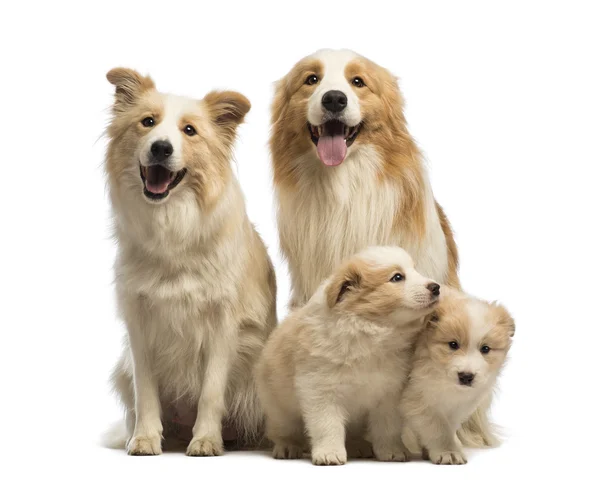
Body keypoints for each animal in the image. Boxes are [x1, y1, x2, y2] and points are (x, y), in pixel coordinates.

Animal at [105, 67, 276, 454]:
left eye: (189, 130)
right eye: (147, 122)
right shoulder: (139, 320)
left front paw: (207, 441)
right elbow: (145, 391)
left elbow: (211, 390)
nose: (161, 147)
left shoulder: (222, 321)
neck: (173, 225)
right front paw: (145, 438)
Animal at [255, 248, 438, 464]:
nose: (436, 287)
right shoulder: (321, 391)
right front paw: (329, 454)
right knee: (283, 431)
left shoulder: (389, 394)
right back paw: (288, 447)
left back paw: (358, 446)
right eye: (397, 277)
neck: (370, 334)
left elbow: (387, 428)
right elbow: (328, 426)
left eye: (415, 270)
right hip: (281, 410)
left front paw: (392, 451)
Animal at [398, 286, 516, 464]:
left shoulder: (456, 406)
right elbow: (437, 428)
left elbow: (448, 427)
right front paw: (448, 452)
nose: (466, 376)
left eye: (485, 349)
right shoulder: (417, 399)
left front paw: (435, 450)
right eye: (453, 344)